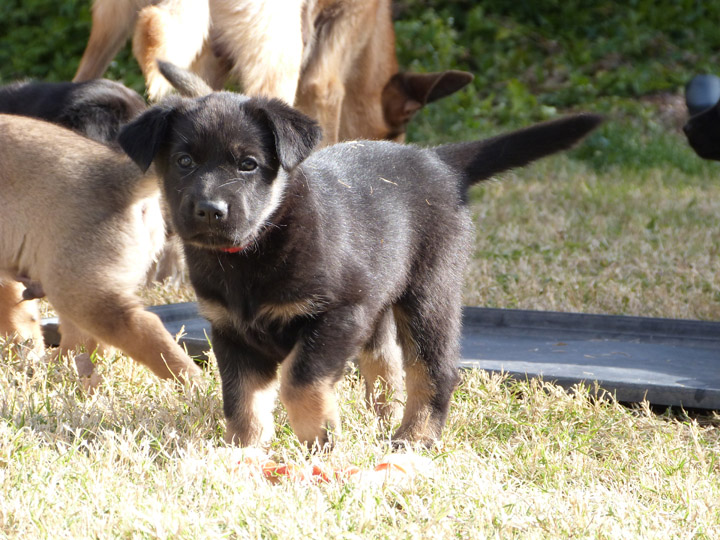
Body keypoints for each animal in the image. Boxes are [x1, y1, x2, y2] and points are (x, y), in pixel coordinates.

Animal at [0, 115, 200, 382]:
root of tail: (119, 177)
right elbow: (21, 325)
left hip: (80, 291)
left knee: (145, 328)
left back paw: (192, 383)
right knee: (87, 345)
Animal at [119, 92, 600, 448]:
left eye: (247, 164)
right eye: (184, 162)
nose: (209, 209)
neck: (251, 253)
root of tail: (438, 161)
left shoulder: (339, 314)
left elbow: (299, 381)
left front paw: (320, 439)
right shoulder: (231, 330)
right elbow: (242, 401)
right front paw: (243, 451)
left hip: (429, 293)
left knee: (433, 371)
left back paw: (413, 439)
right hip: (382, 301)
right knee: (385, 364)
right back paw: (383, 420)